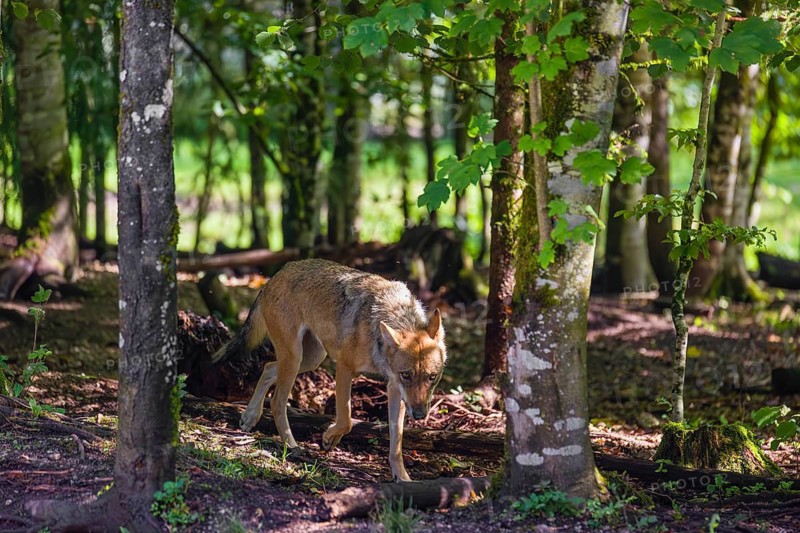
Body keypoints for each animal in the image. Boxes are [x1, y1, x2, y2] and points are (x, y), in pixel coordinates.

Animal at [213, 259, 447, 481]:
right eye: (406, 375)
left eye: (432, 377)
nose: (420, 415)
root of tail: (275, 276)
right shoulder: (344, 369)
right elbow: (346, 420)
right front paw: (328, 438)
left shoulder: (394, 388)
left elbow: (396, 442)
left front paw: (402, 478)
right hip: (295, 358)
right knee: (278, 401)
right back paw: (292, 445)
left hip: (311, 359)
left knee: (268, 368)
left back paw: (250, 417)